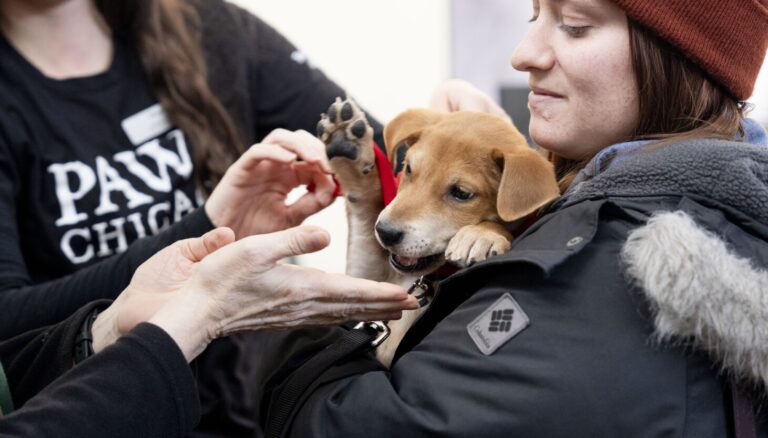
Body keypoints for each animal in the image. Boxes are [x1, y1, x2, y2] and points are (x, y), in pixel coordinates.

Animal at [318, 98, 560, 366]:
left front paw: (481, 235)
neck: (427, 280)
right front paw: (349, 150)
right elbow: (366, 216)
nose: (385, 232)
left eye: (461, 193)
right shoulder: (370, 285)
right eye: (408, 169)